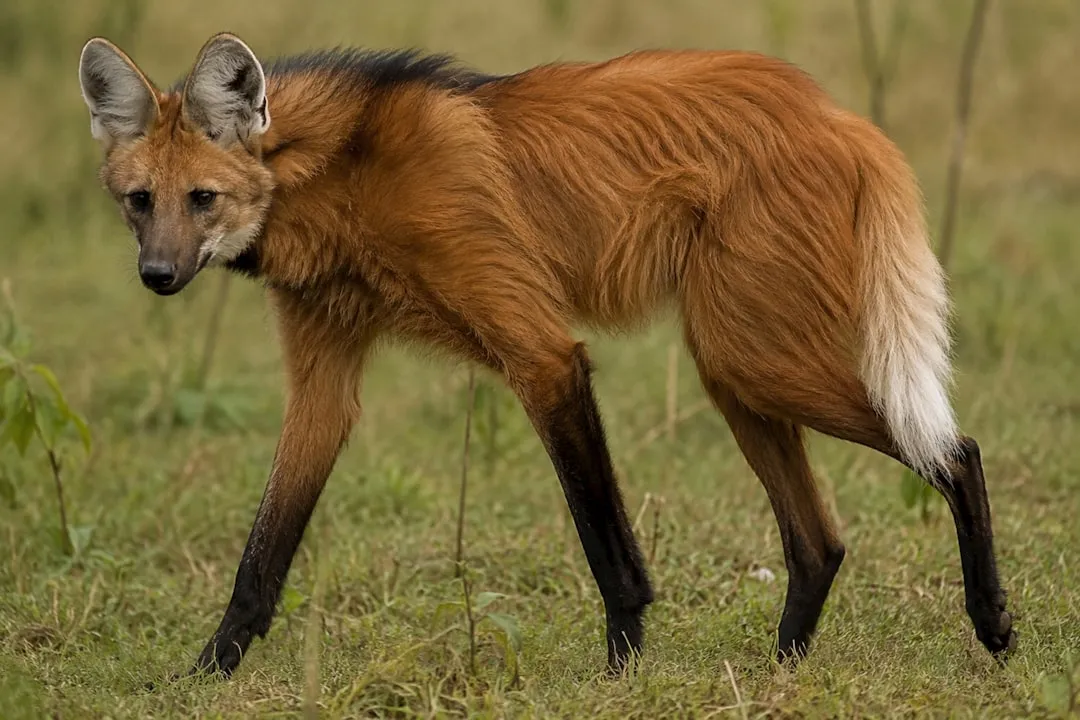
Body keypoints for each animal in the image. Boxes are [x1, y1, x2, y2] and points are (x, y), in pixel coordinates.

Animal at [77, 31, 1016, 681]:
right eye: (140, 202)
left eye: (203, 199)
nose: (158, 276)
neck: (336, 175)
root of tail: (840, 114)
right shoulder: (324, 381)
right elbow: (263, 554)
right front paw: (205, 673)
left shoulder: (543, 356)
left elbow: (606, 545)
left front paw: (622, 676)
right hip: (736, 368)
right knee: (819, 539)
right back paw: (778, 673)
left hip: (755, 356)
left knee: (954, 449)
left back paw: (994, 627)